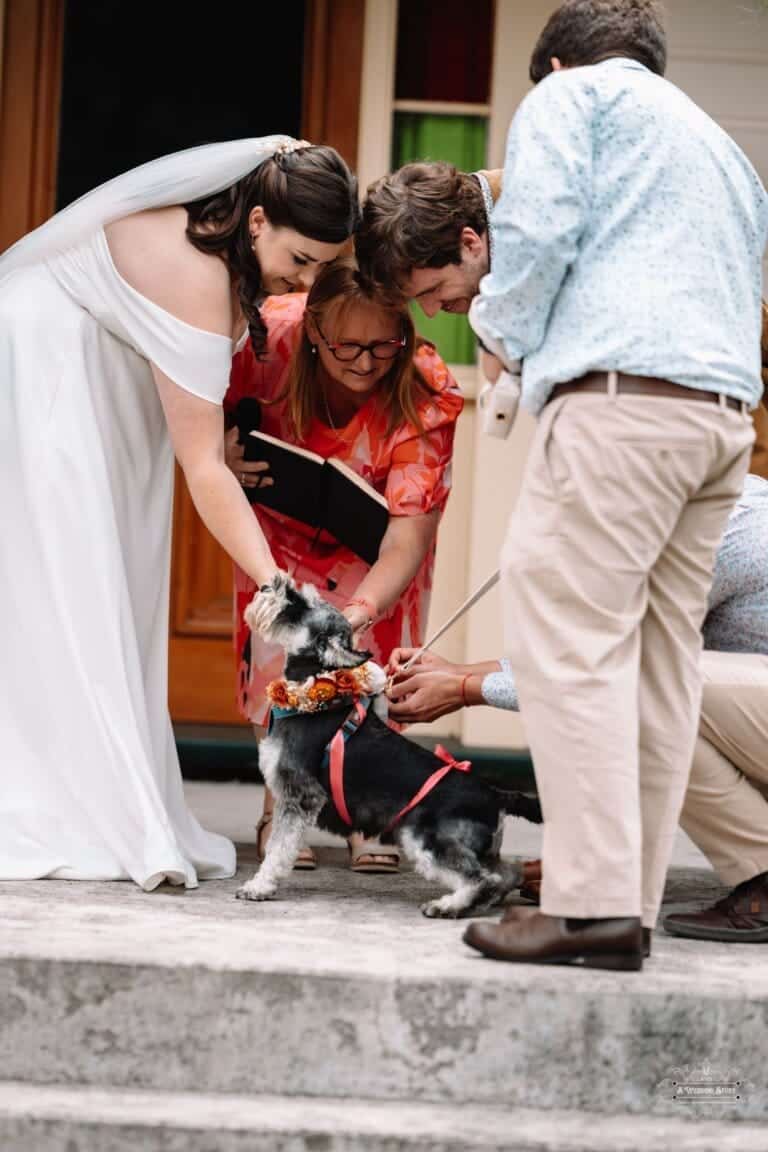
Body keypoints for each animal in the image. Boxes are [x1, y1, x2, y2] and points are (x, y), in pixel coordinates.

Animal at [236, 576, 541, 916]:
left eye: (300, 606)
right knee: (508, 873)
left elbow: (278, 848)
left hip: (424, 837)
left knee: (481, 878)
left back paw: (446, 906)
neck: (309, 694)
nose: (269, 585)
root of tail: (496, 795)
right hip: (479, 847)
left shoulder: (299, 797)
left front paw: (259, 886)